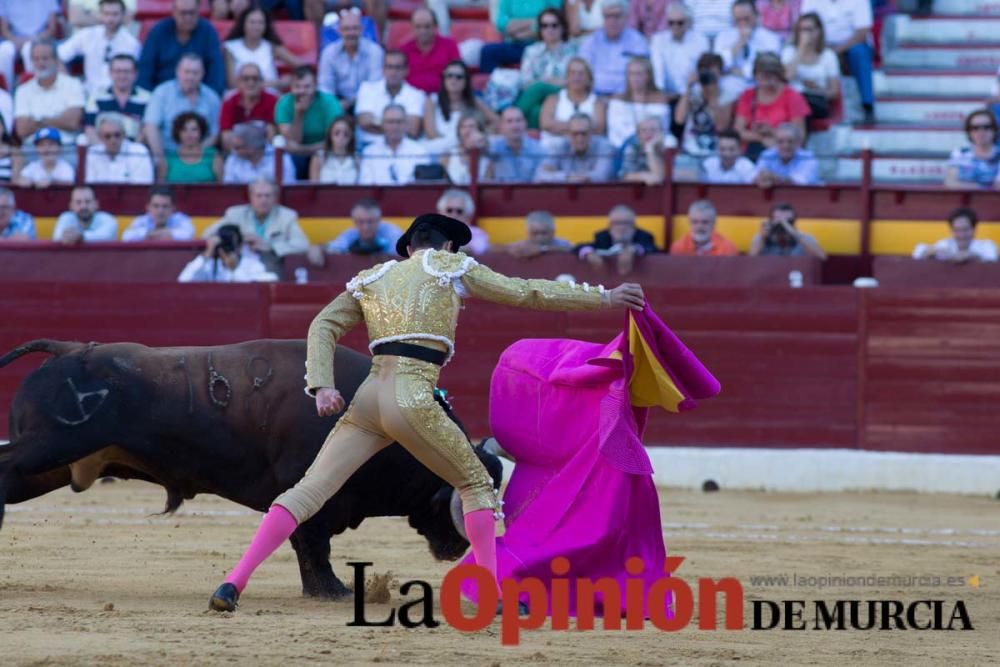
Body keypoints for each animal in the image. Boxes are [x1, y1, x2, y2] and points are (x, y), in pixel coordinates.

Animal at [0, 342, 500, 596]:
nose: (459, 549)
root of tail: (68, 350)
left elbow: (302, 541)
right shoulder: (312, 489)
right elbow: (311, 541)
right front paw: (332, 591)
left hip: (51, 466)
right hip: (49, 446)